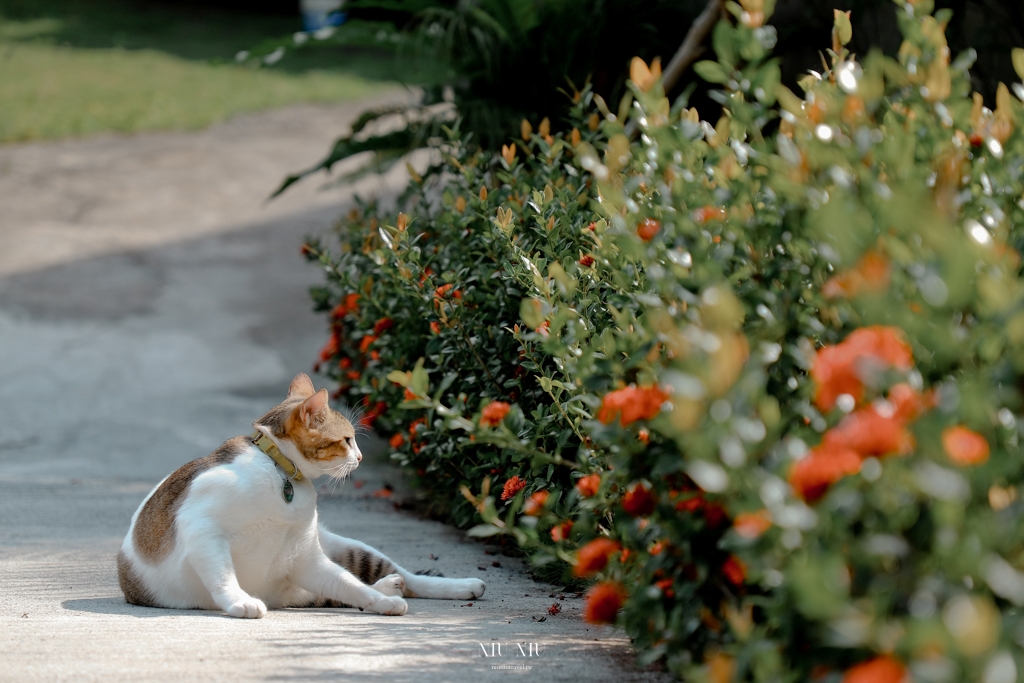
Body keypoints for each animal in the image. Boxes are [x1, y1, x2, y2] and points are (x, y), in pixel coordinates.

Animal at [117, 374, 485, 618]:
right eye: (347, 440)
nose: (361, 457)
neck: (278, 468)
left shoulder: (305, 555)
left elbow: (349, 584)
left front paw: (381, 602)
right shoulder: (203, 529)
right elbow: (221, 573)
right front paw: (239, 600)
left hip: (347, 547)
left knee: (404, 577)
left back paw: (457, 586)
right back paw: (388, 587)